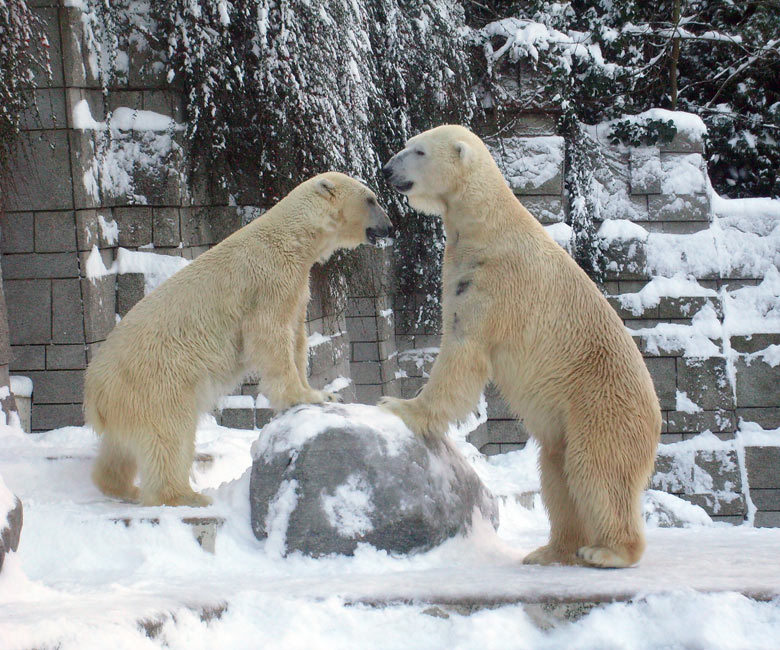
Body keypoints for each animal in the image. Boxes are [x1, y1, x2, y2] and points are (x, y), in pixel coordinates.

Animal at [86, 172, 394, 506]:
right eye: (371, 198)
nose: (390, 226)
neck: (293, 239)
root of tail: (93, 392)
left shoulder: (298, 286)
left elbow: (297, 337)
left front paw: (320, 392)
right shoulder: (269, 281)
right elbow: (270, 335)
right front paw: (307, 396)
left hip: (129, 400)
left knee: (120, 447)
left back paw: (122, 487)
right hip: (156, 382)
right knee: (169, 435)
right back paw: (187, 496)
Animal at [380, 124, 660, 564]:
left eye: (418, 150)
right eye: (407, 144)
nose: (387, 169)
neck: (486, 226)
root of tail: (656, 415)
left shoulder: (493, 284)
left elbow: (463, 352)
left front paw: (401, 405)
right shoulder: (463, 269)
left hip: (601, 403)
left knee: (595, 469)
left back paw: (608, 552)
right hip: (568, 418)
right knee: (556, 472)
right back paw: (550, 551)